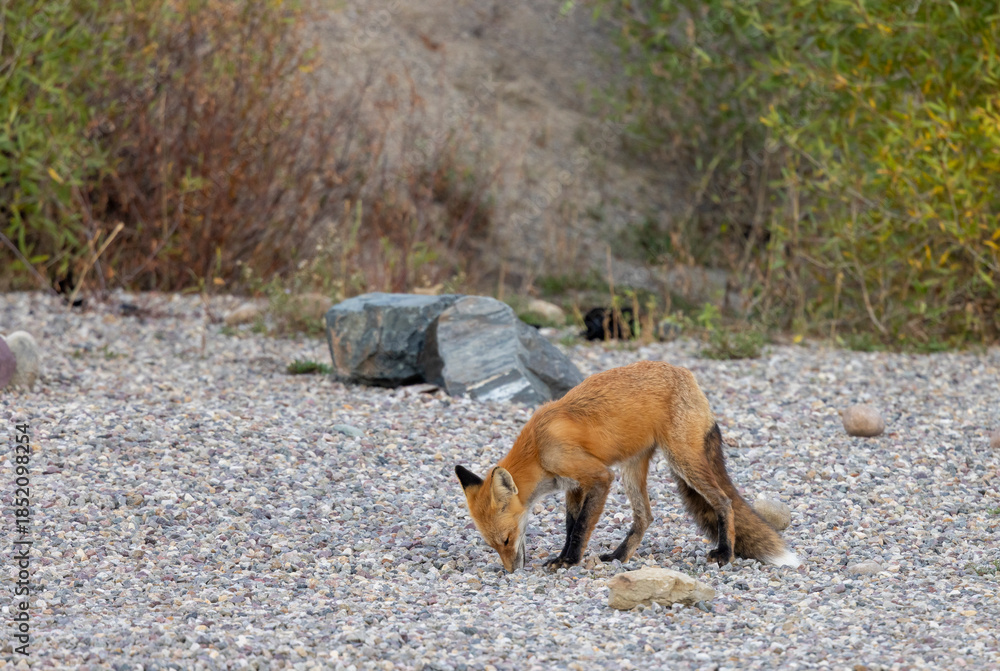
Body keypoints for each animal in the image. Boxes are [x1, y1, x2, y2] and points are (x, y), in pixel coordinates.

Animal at [455, 361, 800, 573]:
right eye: (493, 545)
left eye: (506, 540)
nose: (511, 571)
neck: (538, 448)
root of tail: (687, 375)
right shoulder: (573, 486)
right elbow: (571, 526)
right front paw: (565, 557)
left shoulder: (598, 477)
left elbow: (581, 527)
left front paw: (569, 561)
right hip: (632, 469)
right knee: (645, 517)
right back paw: (621, 556)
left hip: (680, 461)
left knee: (724, 501)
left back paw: (725, 553)